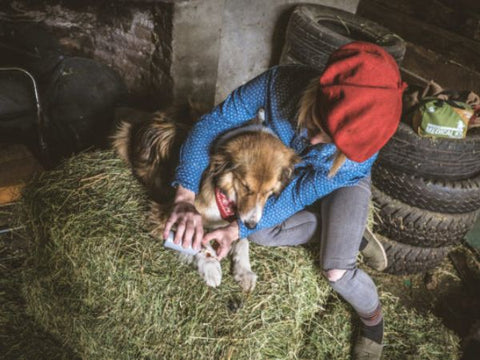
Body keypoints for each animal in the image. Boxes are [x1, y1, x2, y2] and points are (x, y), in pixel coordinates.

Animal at [113, 104, 300, 290]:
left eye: (270, 192)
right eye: (245, 186)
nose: (252, 225)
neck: (224, 193)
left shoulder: (239, 217)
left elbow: (242, 239)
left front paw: (244, 272)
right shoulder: (166, 212)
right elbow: (196, 237)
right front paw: (210, 267)